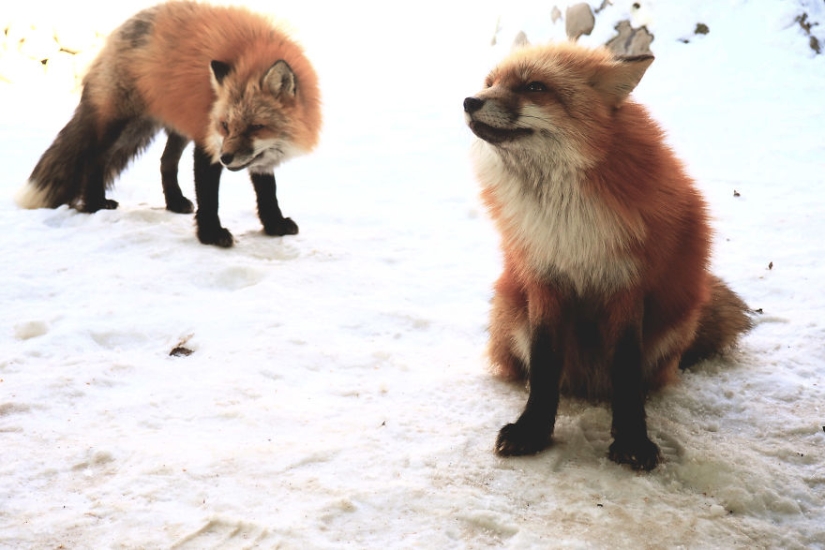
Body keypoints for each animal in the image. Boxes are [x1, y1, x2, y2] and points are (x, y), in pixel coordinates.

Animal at [16, 1, 322, 247]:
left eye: (256, 127)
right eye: (225, 125)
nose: (226, 158)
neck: (251, 59)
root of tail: (122, 28)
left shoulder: (242, 149)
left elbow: (267, 191)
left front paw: (273, 225)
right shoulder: (208, 142)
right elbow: (209, 197)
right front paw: (211, 235)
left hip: (174, 127)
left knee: (165, 163)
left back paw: (173, 202)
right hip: (119, 124)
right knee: (95, 159)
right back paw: (95, 204)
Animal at [464, 41, 752, 470]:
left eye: (534, 87)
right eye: (490, 83)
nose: (469, 101)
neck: (565, 214)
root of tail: (589, 383)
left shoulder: (626, 284)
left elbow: (626, 372)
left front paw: (632, 440)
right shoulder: (544, 277)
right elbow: (544, 367)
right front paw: (533, 431)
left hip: (673, 324)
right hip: (510, 309)